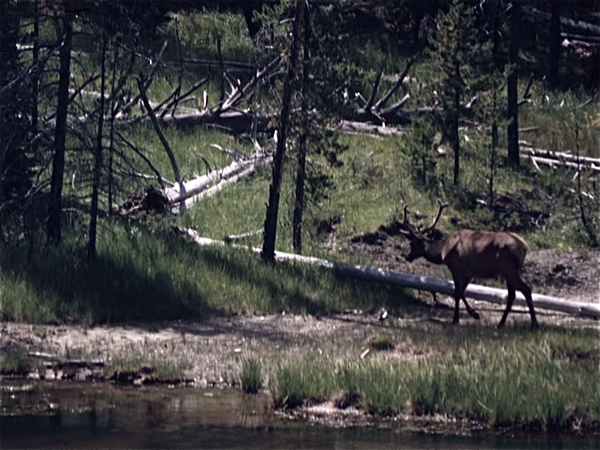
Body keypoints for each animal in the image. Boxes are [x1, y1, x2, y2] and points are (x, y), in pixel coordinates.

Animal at [398, 200, 540, 326]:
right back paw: (502, 323)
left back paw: (534, 323)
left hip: (509, 269)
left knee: (526, 290)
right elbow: (462, 292)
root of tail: (524, 246)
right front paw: (474, 314)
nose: (407, 256)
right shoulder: (469, 273)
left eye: (411, 244)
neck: (443, 251)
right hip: (508, 272)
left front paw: (456, 319)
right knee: (512, 295)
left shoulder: (456, 267)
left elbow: (456, 293)